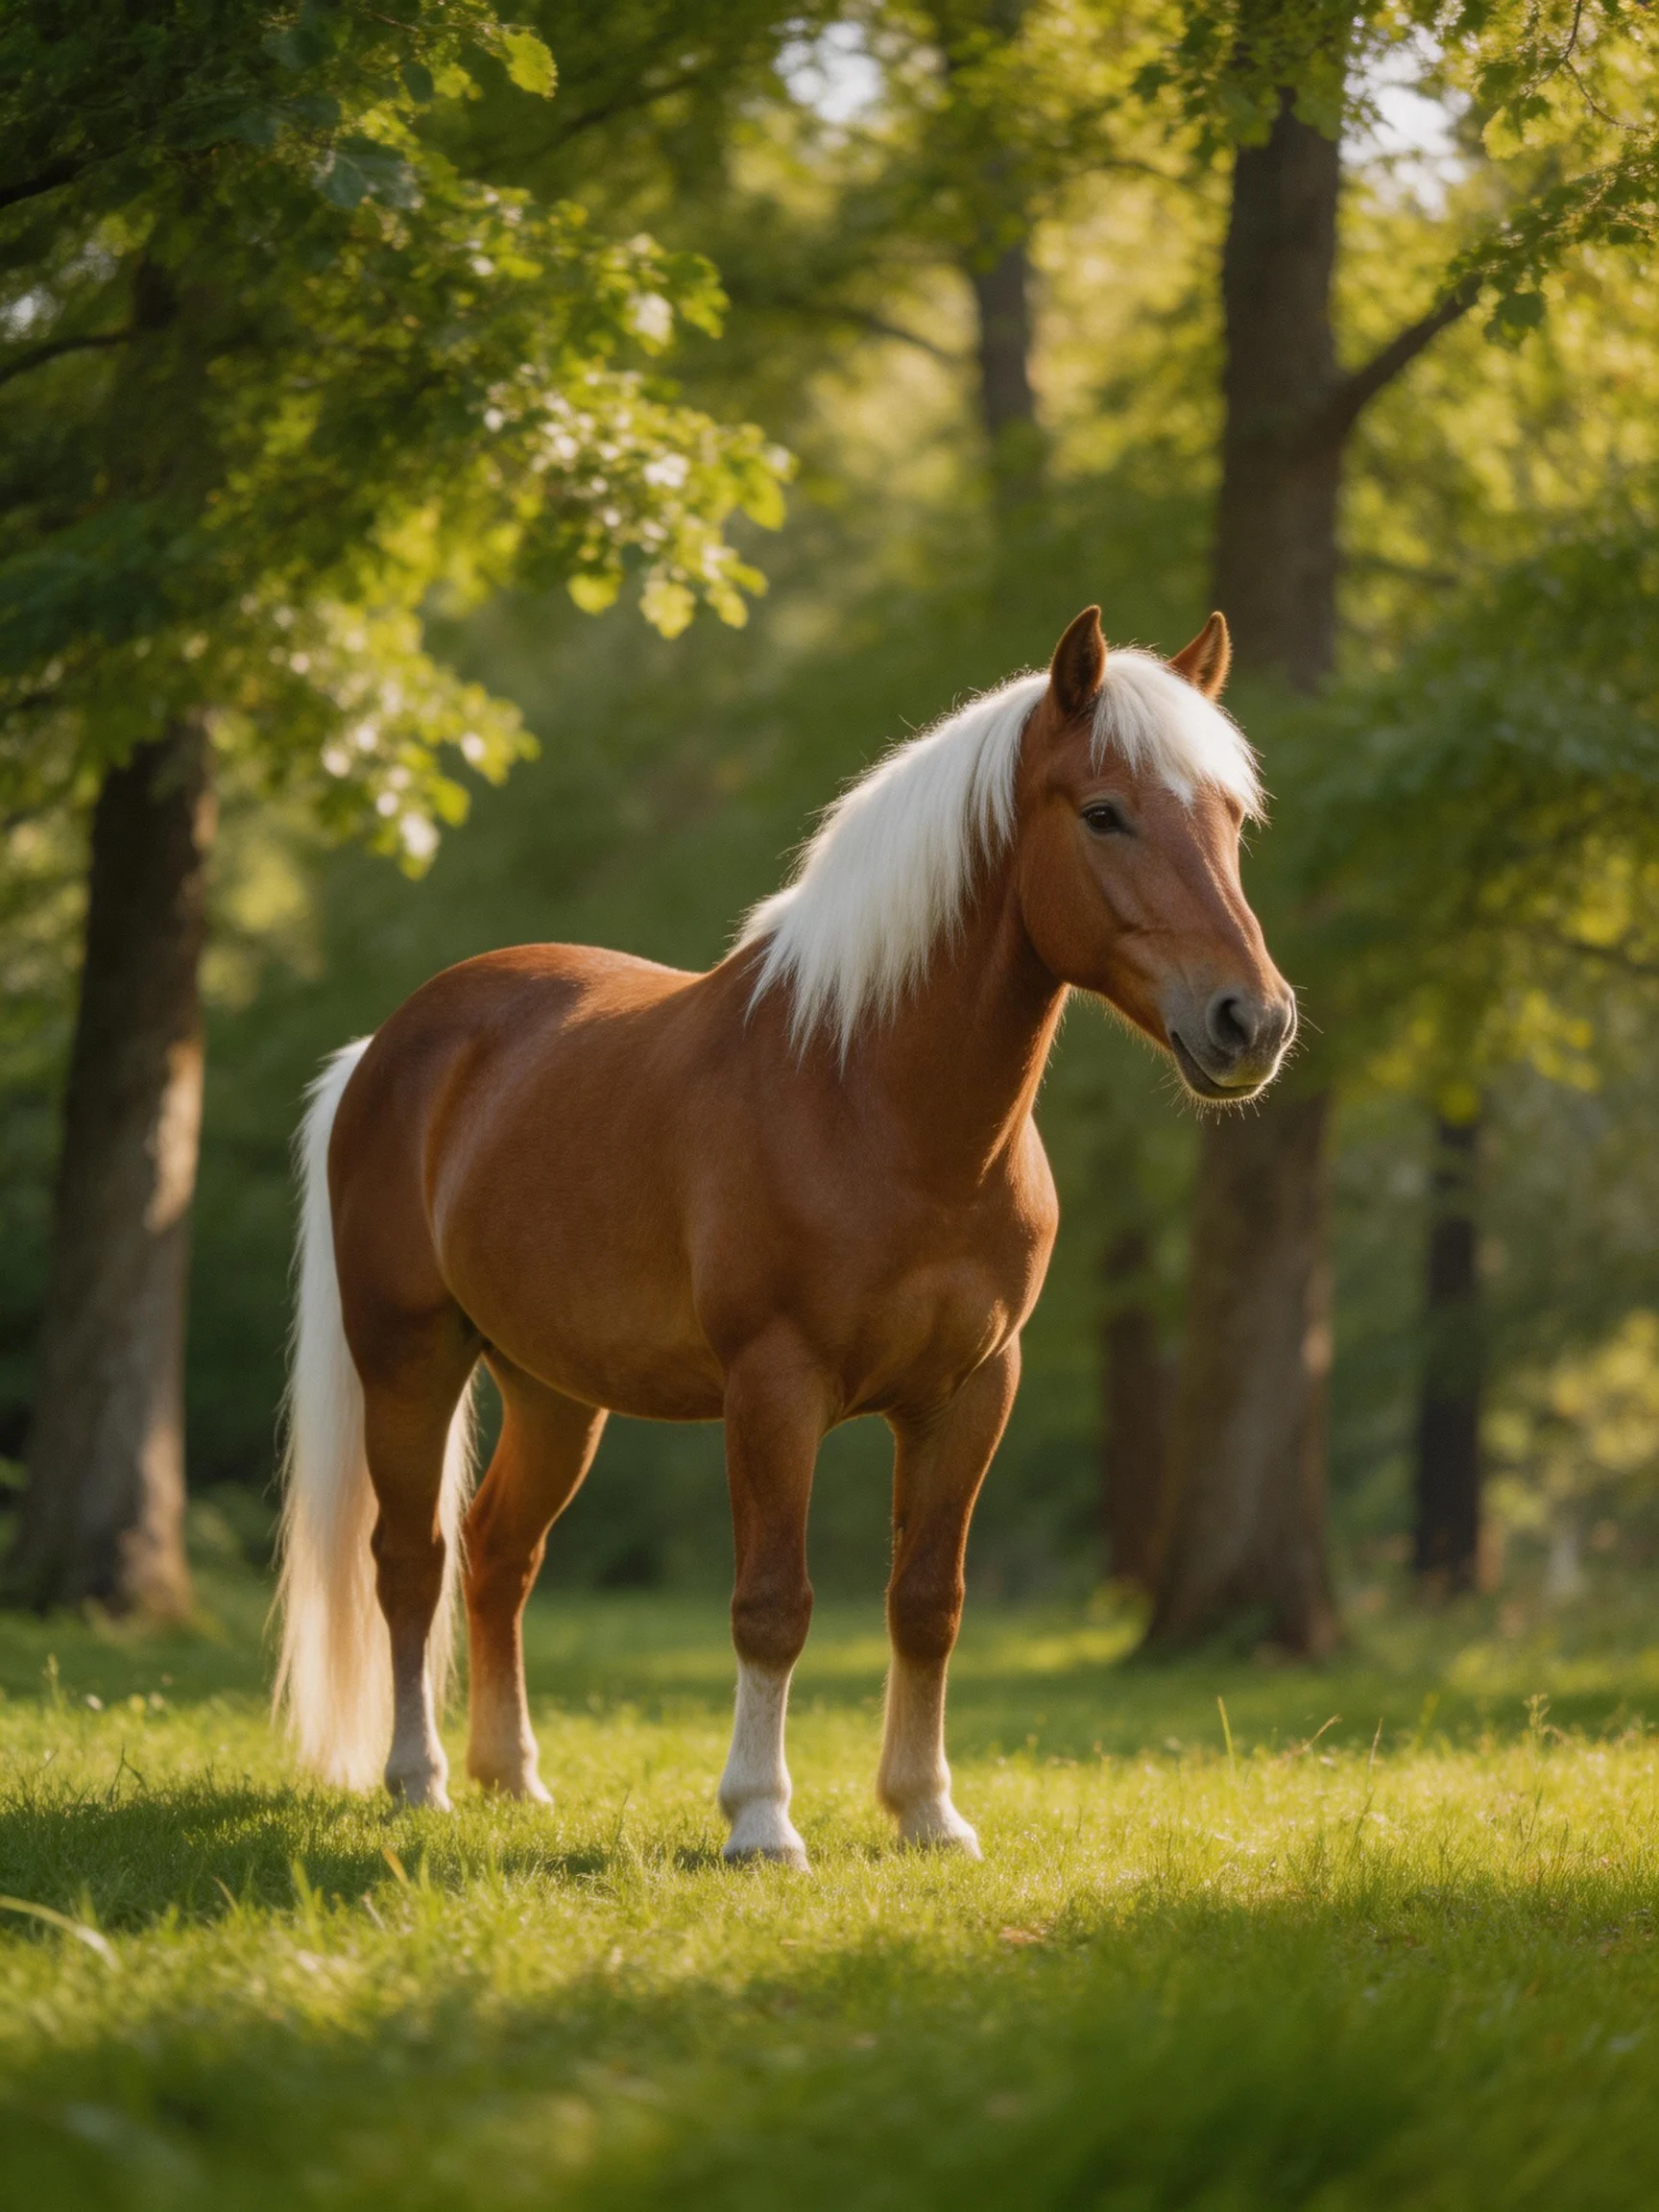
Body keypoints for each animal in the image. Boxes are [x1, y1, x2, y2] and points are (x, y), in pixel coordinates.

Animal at [274, 604, 1294, 1866]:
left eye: (1232, 818)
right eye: (1104, 812)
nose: (1251, 1021)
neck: (874, 1103)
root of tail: (390, 1046)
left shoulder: (972, 1391)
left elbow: (928, 1602)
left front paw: (928, 1812)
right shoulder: (775, 1387)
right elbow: (772, 1606)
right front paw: (761, 1821)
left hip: (554, 1392)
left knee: (500, 1554)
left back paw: (514, 1778)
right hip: (409, 1360)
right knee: (411, 1562)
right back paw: (418, 1781)